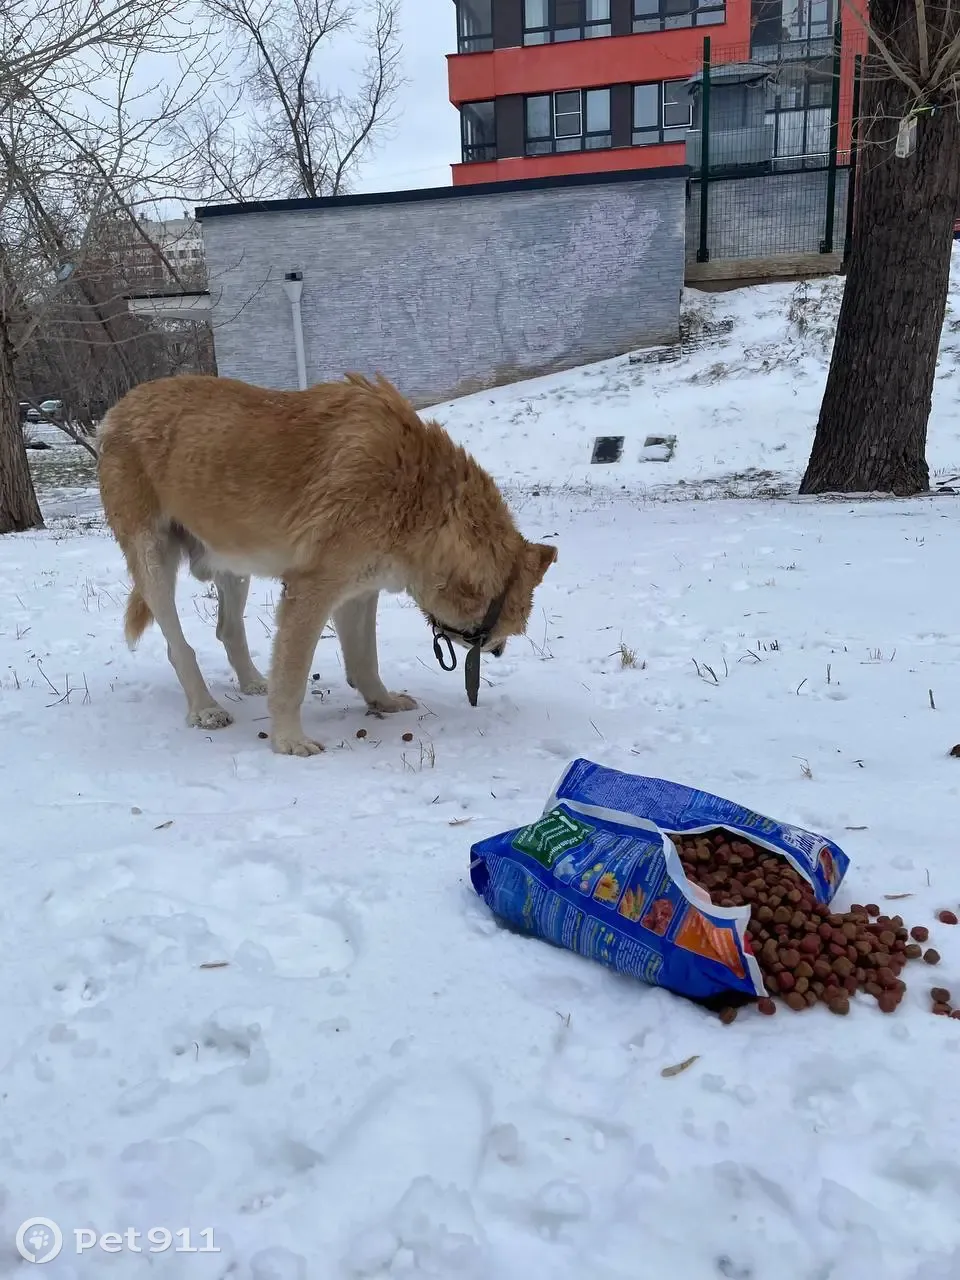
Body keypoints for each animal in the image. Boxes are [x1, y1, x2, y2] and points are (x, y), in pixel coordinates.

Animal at [96, 371, 555, 747]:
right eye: (505, 626)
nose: (497, 652)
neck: (422, 499)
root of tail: (119, 408)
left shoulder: (358, 593)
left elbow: (365, 661)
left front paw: (382, 703)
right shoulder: (312, 591)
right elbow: (293, 677)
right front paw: (288, 742)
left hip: (234, 567)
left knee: (228, 630)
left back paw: (252, 683)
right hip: (154, 563)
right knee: (179, 647)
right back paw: (206, 709)